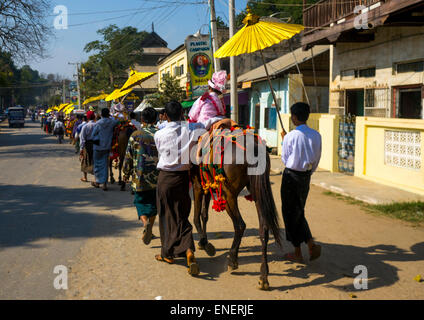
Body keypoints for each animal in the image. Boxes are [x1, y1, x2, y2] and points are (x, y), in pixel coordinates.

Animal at [190, 127, 280, 290]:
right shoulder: (209, 185)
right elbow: (205, 215)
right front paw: (203, 242)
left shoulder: (198, 186)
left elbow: (196, 216)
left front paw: (205, 244)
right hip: (257, 191)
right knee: (263, 228)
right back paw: (263, 277)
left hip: (229, 194)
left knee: (240, 225)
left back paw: (232, 259)